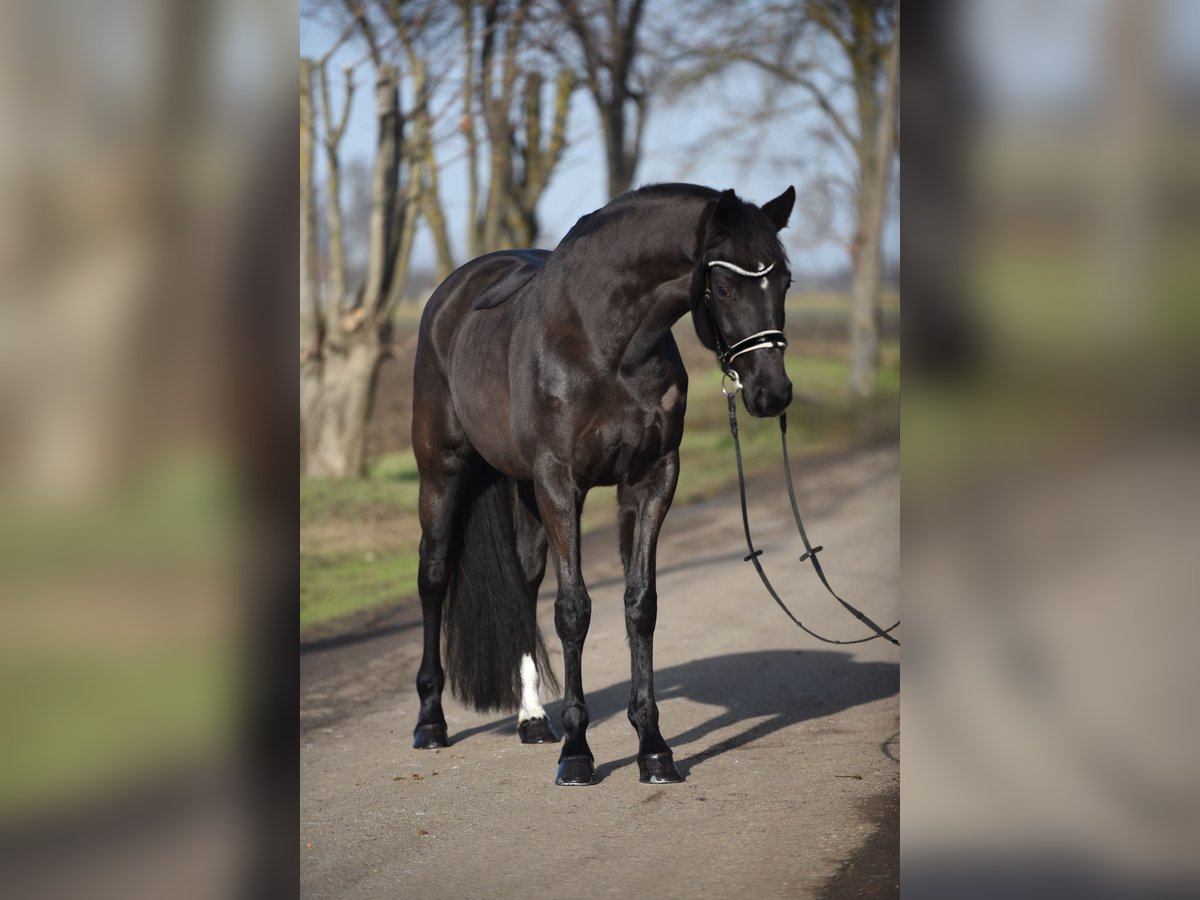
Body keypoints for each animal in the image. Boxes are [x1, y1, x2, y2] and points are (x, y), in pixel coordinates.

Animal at [412, 184, 796, 787]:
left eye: (784, 282)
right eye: (725, 286)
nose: (772, 393)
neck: (605, 341)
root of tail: (451, 293)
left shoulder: (652, 480)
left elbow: (640, 604)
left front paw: (654, 748)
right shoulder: (560, 484)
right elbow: (573, 610)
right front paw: (577, 753)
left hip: (523, 488)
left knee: (524, 578)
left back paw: (530, 718)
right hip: (442, 472)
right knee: (433, 574)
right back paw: (431, 721)